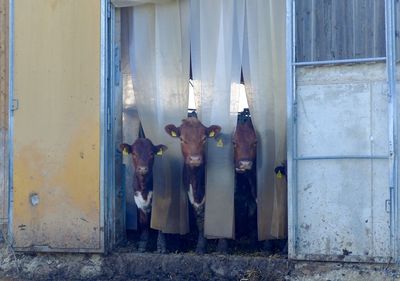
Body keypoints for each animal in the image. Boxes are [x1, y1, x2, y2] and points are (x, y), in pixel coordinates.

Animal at [165, 117, 222, 253]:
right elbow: (200, 220)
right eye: (181, 139)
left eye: (204, 138)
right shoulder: (191, 195)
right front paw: (200, 246)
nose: (195, 159)